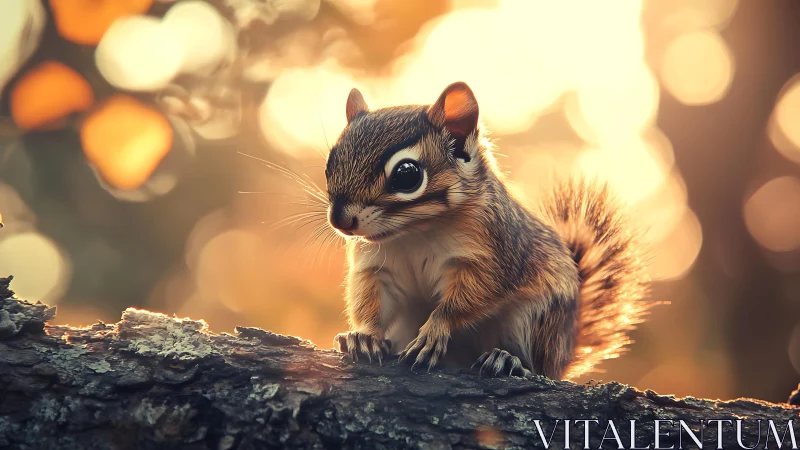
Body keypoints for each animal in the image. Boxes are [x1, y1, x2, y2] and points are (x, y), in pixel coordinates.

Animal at [325, 81, 651, 380]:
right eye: (330, 162)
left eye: (407, 174)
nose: (340, 220)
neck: (413, 232)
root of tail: (564, 355)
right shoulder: (375, 268)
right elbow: (371, 302)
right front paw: (364, 336)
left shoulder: (492, 255)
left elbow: (466, 300)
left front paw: (435, 329)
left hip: (535, 319)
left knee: (536, 366)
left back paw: (509, 360)